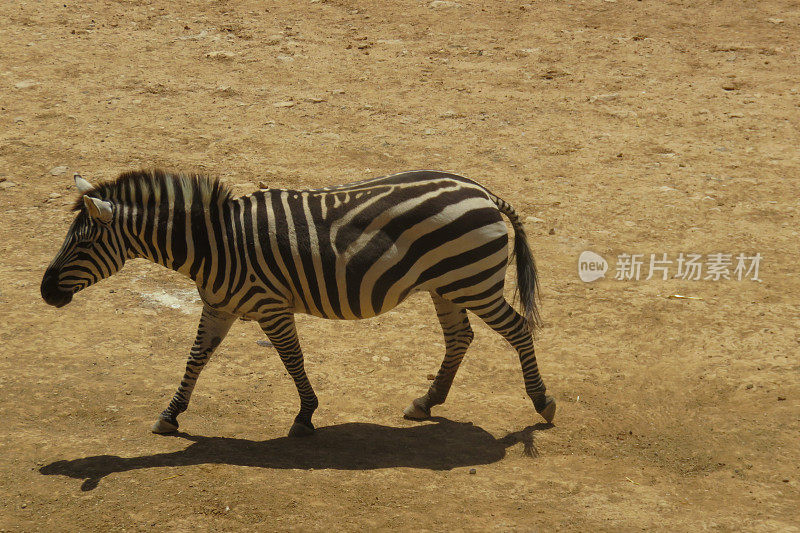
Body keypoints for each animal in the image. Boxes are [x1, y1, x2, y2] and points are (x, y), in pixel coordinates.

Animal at [42, 168, 556, 434]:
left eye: (81, 244)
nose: (45, 292)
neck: (214, 245)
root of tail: (483, 191)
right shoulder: (219, 305)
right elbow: (196, 358)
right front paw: (170, 415)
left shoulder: (270, 305)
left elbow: (292, 359)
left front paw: (306, 415)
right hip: (447, 285)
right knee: (459, 338)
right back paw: (426, 402)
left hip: (473, 283)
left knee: (516, 330)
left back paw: (542, 402)